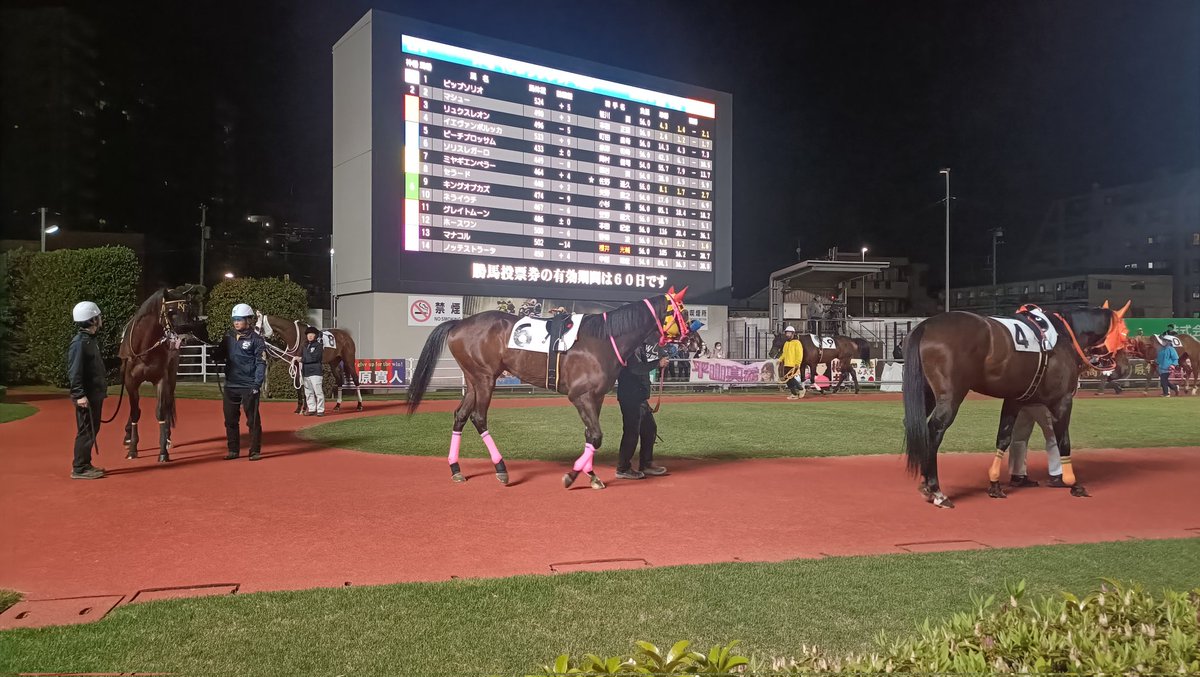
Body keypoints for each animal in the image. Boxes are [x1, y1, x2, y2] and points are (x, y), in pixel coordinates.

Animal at [118, 285, 208, 462]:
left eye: (189, 312)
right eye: (171, 312)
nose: (185, 338)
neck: (144, 348)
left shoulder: (161, 378)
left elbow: (160, 411)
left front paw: (162, 451)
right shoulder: (130, 381)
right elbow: (135, 412)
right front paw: (132, 448)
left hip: (171, 376)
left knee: (167, 405)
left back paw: (167, 438)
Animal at [406, 288, 690, 489]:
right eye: (684, 313)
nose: (694, 340)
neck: (603, 339)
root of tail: (457, 324)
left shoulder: (595, 397)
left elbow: (590, 435)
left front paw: (591, 475)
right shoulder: (580, 396)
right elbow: (596, 436)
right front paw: (572, 476)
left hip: (474, 380)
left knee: (460, 416)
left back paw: (456, 469)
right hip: (485, 379)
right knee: (478, 417)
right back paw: (501, 469)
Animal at [902, 301, 1130, 508]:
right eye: (1125, 334)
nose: (1124, 369)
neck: (1065, 335)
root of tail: (925, 325)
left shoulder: (1014, 400)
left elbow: (1003, 438)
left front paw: (995, 485)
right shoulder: (1063, 401)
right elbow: (1063, 441)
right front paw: (1073, 483)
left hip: (927, 393)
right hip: (951, 396)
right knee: (934, 430)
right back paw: (936, 490)